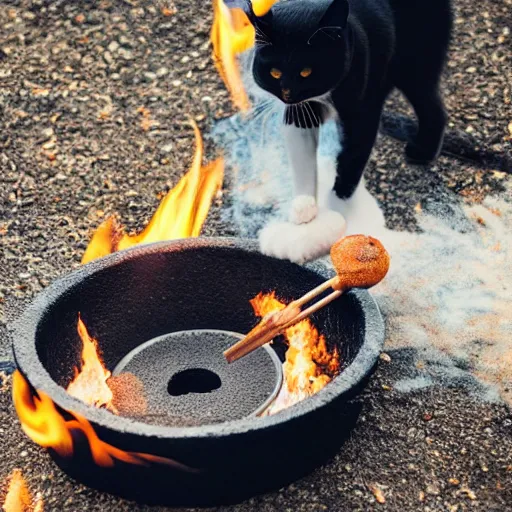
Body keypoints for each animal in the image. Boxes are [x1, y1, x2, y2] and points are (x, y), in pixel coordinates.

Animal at [231, 0, 452, 264]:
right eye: (274, 72)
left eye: (307, 71)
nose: (287, 94)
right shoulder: (299, 114)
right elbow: (303, 165)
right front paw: (304, 211)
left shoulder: (364, 113)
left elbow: (350, 161)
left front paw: (338, 215)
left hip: (415, 62)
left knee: (432, 106)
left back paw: (423, 151)